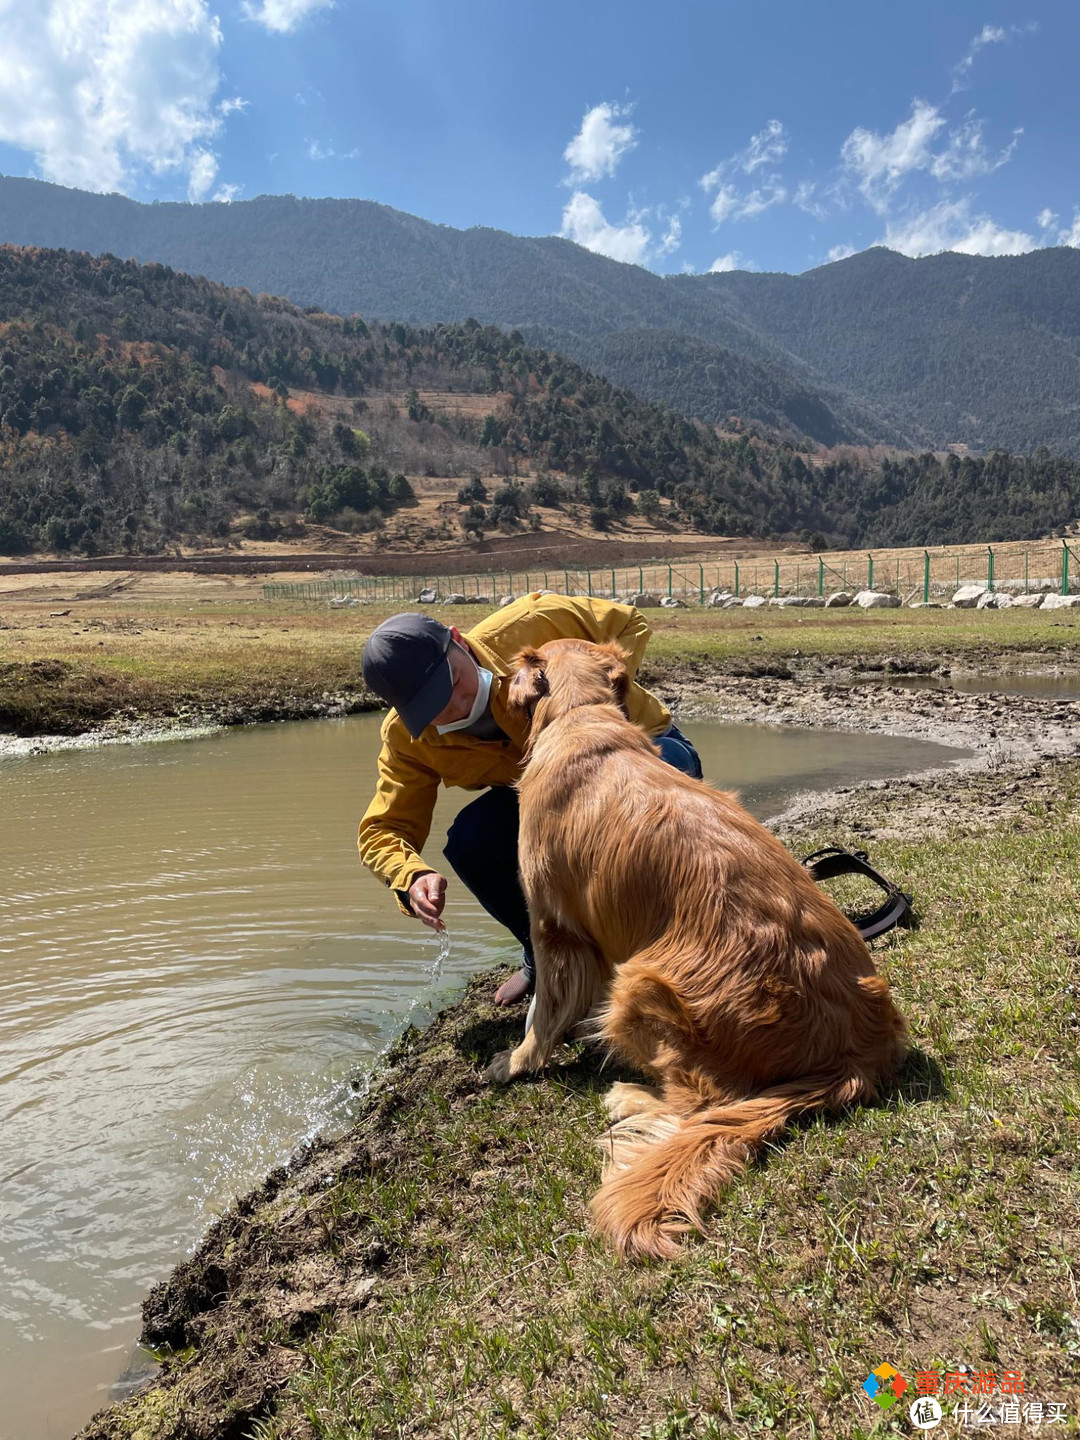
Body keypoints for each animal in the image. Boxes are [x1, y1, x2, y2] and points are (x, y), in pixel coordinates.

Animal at [486, 642, 910, 1261]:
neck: (582, 715)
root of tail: (860, 1051)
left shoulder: (551, 926)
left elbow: (542, 1012)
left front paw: (517, 1061)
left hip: (641, 982)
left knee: (702, 1102)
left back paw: (631, 1097)